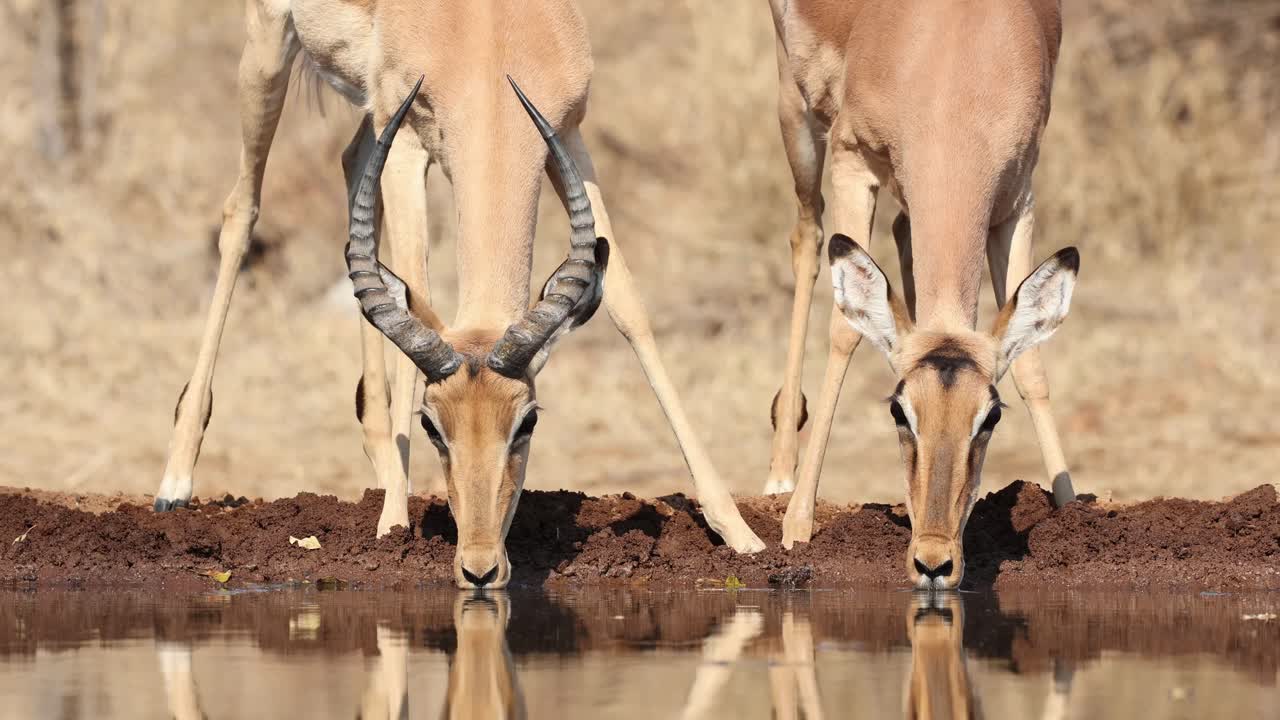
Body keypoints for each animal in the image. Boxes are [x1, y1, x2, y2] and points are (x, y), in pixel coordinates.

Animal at [155, 0, 765, 586]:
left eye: (528, 420)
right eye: (431, 424)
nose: (479, 567)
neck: (487, 34)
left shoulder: (568, 135)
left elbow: (626, 303)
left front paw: (739, 532)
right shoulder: (404, 140)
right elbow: (415, 291)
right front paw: (392, 527)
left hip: (369, 116)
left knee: (352, 167)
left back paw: (383, 462)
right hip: (269, 48)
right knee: (243, 210)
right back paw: (176, 482)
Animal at [765, 0, 1080, 589]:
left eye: (991, 416)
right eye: (898, 409)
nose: (934, 561)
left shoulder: (1017, 199)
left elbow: (1031, 363)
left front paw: (1073, 510)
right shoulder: (852, 161)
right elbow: (845, 330)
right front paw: (798, 523)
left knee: (901, 237)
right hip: (796, 111)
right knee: (807, 236)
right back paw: (779, 475)